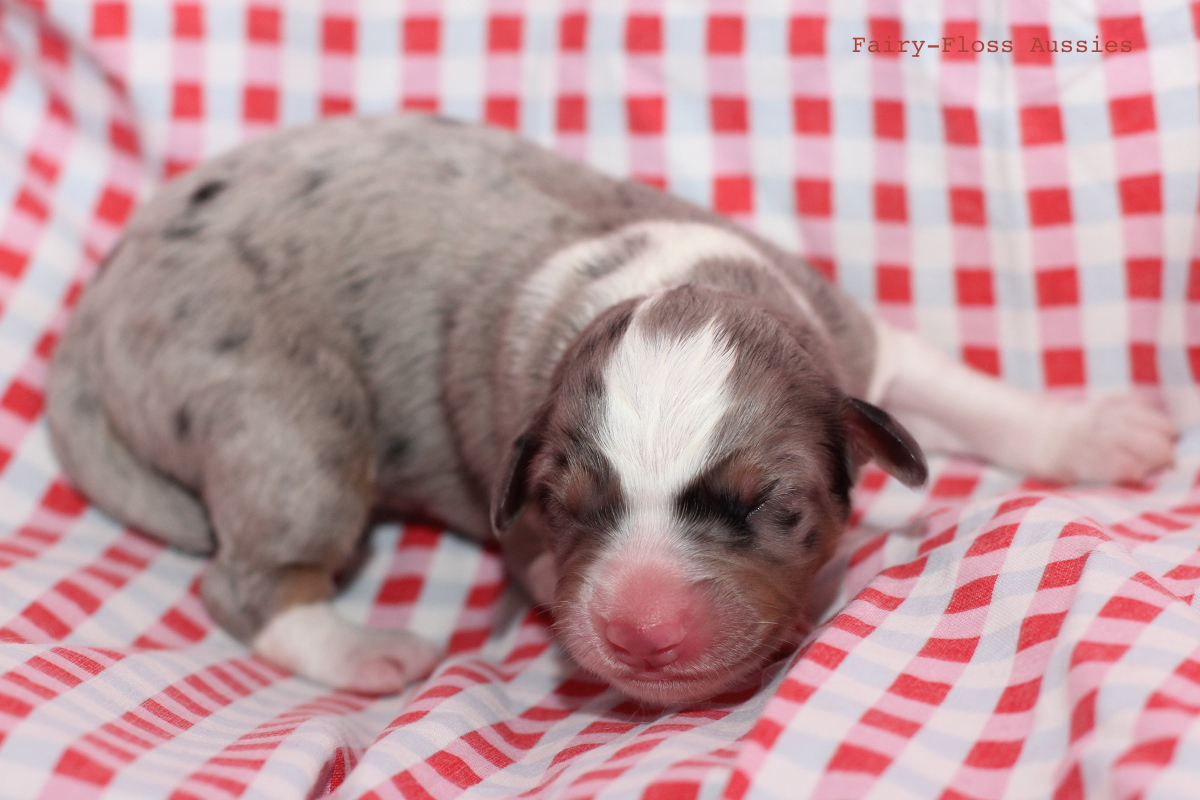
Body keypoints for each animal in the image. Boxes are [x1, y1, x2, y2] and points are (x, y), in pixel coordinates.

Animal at [44, 115, 1171, 705]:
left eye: (772, 505)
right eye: (565, 504)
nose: (642, 634)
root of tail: (96, 304)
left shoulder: (857, 341)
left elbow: (958, 385)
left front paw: (1093, 430)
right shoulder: (532, 540)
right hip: (291, 425)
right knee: (248, 582)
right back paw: (366, 651)